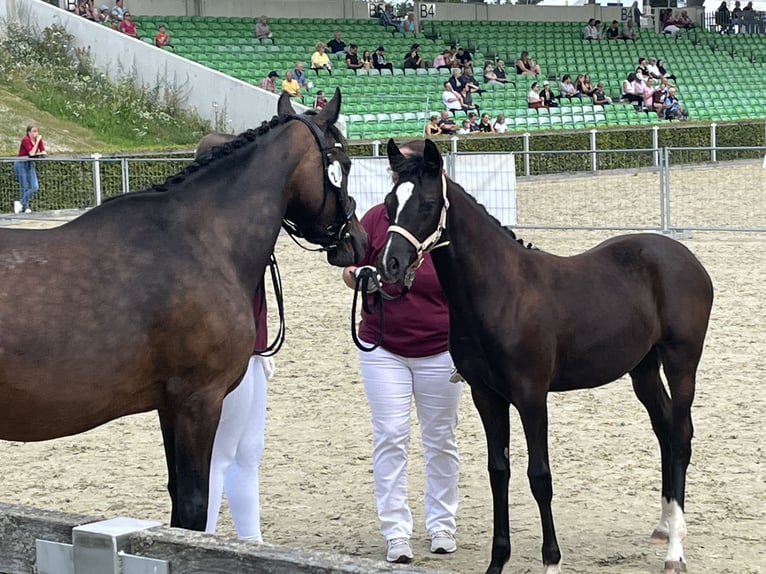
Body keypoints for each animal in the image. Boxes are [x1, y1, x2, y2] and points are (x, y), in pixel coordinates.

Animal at [0, 89, 368, 532]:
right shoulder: (199, 400)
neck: (201, 241)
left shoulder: (168, 405)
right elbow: (194, 506)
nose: (359, 241)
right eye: (345, 163)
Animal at [380, 140, 716, 574]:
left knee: (681, 435)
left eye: (427, 203)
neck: (501, 293)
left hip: (681, 362)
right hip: (642, 368)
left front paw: (551, 561)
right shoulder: (486, 396)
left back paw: (675, 550)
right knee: (664, 430)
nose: (390, 265)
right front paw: (497, 562)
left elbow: (539, 476)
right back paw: (663, 526)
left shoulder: (531, 396)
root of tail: (685, 258)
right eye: (389, 203)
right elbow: (498, 472)